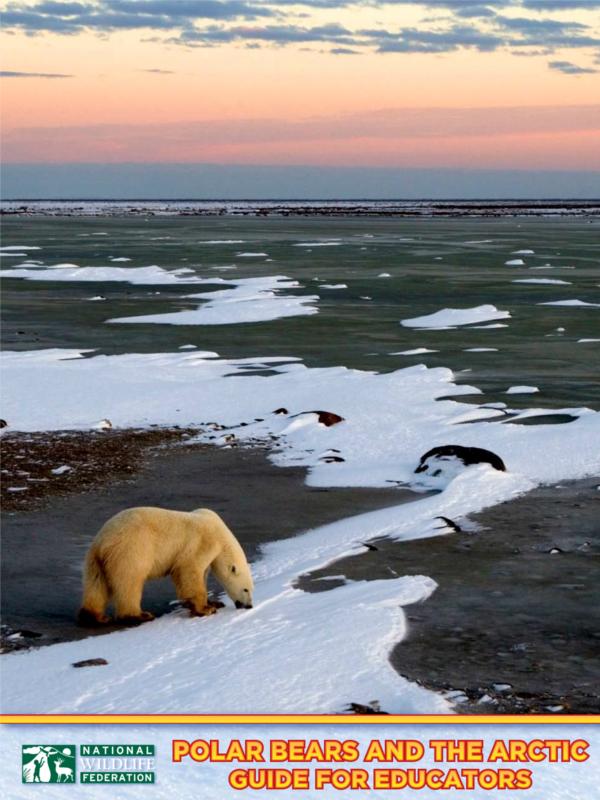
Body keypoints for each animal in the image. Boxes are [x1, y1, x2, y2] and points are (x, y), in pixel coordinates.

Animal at [77, 506, 253, 624]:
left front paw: (214, 602)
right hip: (130, 550)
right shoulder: (202, 542)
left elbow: (201, 574)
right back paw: (139, 615)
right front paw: (206, 609)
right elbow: (189, 570)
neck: (219, 531)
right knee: (130, 581)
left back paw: (94, 616)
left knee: (96, 584)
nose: (249, 606)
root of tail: (102, 543)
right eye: (246, 589)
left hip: (94, 560)